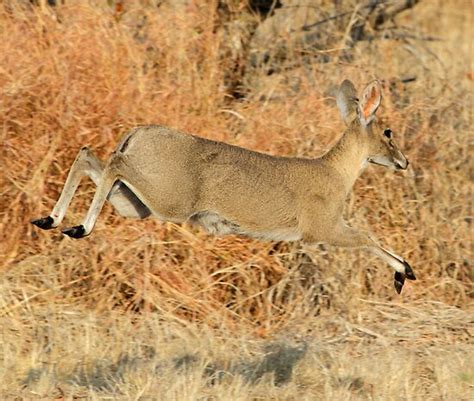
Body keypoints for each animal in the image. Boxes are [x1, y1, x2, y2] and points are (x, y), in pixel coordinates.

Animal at [32, 79, 414, 290]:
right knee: (109, 162)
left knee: (88, 157)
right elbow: (367, 237)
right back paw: (77, 228)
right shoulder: (323, 229)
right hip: (167, 202)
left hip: (133, 203)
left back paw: (50, 220)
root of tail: (137, 133)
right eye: (388, 132)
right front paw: (404, 273)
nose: (404, 162)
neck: (334, 171)